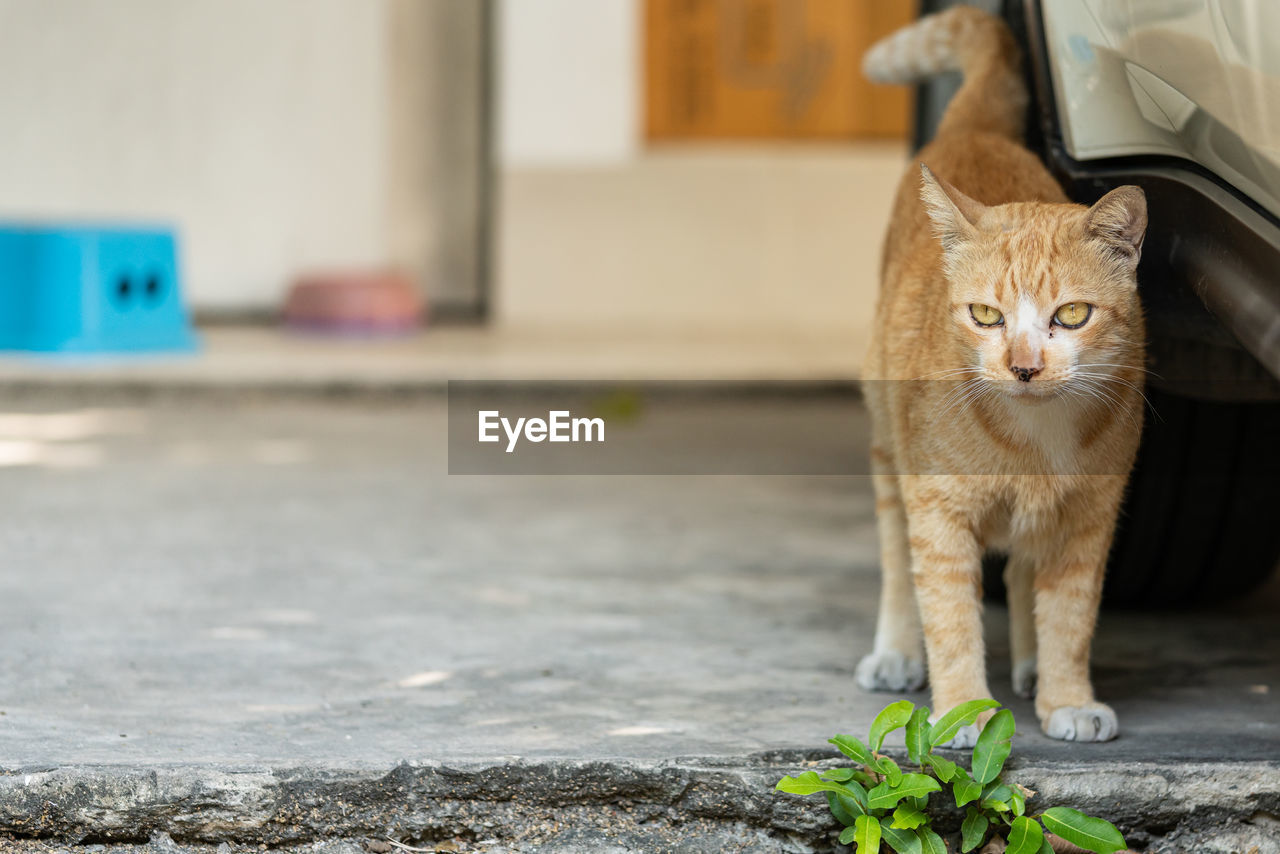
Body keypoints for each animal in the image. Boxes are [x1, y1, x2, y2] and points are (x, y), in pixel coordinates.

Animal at [855, 6, 1146, 742]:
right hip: (887, 448)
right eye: (985, 315)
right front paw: (963, 709)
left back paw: (1033, 665)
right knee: (896, 559)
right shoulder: (939, 513)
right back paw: (897, 652)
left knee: (1020, 572)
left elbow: (1070, 617)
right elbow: (951, 616)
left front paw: (1066, 696)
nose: (1023, 366)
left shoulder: (1089, 521)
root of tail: (976, 126)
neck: (1035, 438)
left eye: (1072, 314)